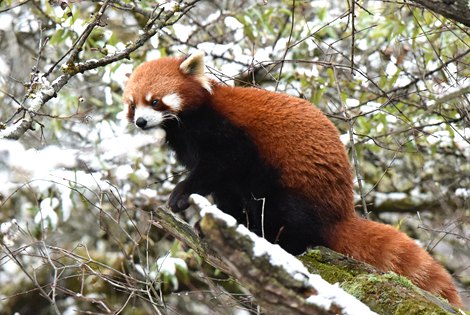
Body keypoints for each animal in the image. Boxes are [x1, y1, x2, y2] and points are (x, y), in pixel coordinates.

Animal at [122, 50, 462, 308]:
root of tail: (341, 212)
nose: (140, 122)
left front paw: (181, 195)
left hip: (293, 188)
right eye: (132, 104)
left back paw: (276, 239)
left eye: (155, 101)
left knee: (287, 213)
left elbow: (222, 166)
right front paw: (222, 222)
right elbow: (225, 188)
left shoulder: (228, 134)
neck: (189, 120)